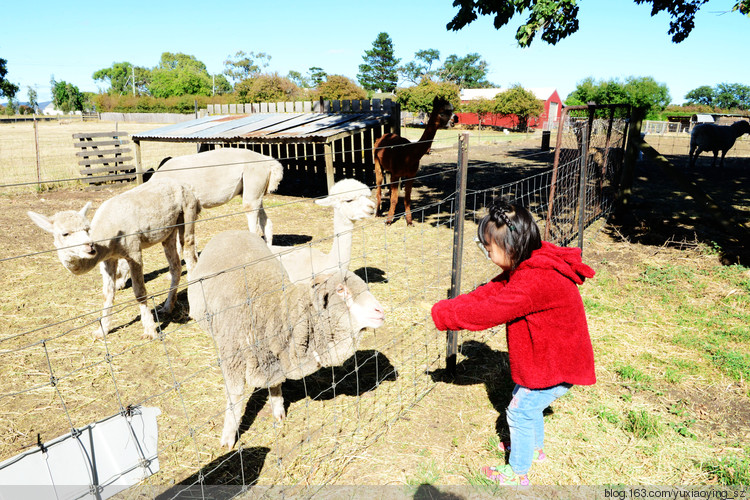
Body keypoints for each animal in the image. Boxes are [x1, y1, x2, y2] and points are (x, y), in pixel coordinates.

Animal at [28, 178, 201, 338]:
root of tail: (183, 184)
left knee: (190, 257)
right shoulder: (109, 259)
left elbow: (139, 292)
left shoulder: (133, 251)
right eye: (65, 233)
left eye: (87, 229)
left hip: (188, 212)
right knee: (176, 266)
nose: (90, 246)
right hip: (169, 231)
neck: (108, 240)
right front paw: (102, 330)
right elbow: (108, 293)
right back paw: (167, 307)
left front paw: (150, 331)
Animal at [188, 229, 388, 448]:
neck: (272, 309)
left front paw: (278, 412)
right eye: (341, 290)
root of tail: (232, 231)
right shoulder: (233, 360)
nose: (380, 311)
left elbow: (275, 383)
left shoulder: (274, 357)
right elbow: (235, 398)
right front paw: (228, 438)